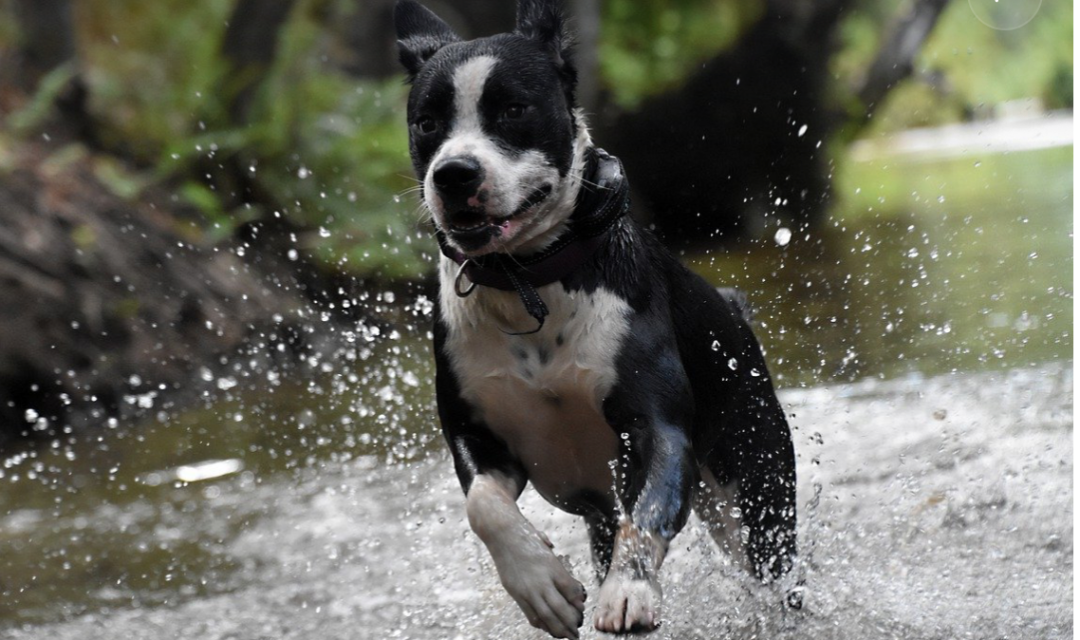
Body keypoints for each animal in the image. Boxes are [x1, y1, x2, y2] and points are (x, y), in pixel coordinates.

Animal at [393, 3, 799, 634]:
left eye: (513, 109)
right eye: (427, 122)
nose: (454, 173)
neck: (530, 280)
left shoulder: (658, 428)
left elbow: (648, 513)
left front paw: (628, 589)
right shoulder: (476, 434)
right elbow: (485, 507)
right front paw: (541, 585)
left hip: (757, 491)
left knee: (771, 570)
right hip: (610, 517)